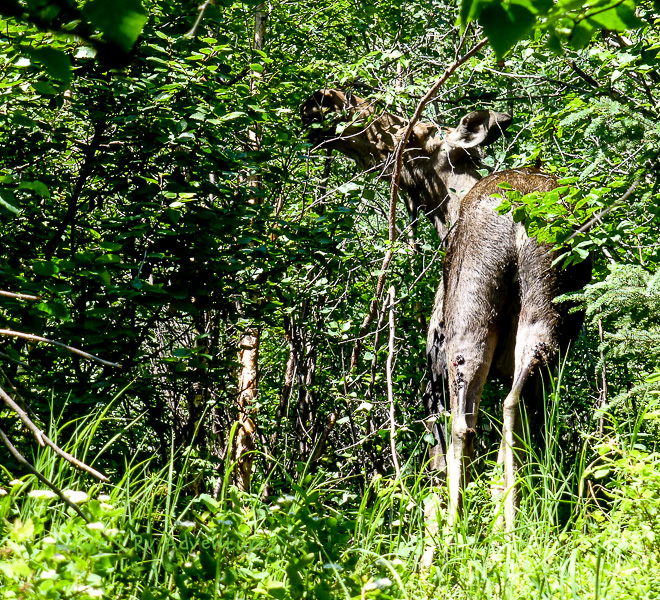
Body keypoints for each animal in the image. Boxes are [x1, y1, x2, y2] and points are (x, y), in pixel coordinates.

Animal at [301, 89, 591, 536]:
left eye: (412, 133)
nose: (325, 100)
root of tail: (518, 216)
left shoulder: (433, 359)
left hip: (465, 323)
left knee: (462, 423)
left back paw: (456, 531)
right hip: (546, 317)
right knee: (514, 408)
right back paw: (511, 524)